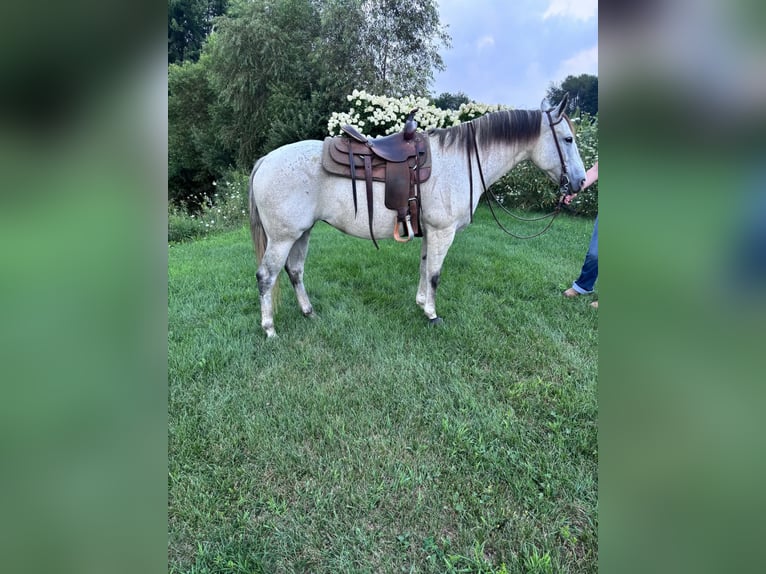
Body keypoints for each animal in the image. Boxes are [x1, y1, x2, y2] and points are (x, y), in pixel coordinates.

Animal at [248, 95, 587, 338]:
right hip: (282, 238)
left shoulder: (430, 230)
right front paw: (433, 315)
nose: (581, 182)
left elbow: (424, 269)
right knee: (267, 276)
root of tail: (265, 160)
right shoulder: (443, 231)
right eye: (568, 139)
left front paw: (422, 304)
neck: (461, 161)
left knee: (295, 271)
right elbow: (435, 274)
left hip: (301, 233)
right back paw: (269, 329)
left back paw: (309, 313)